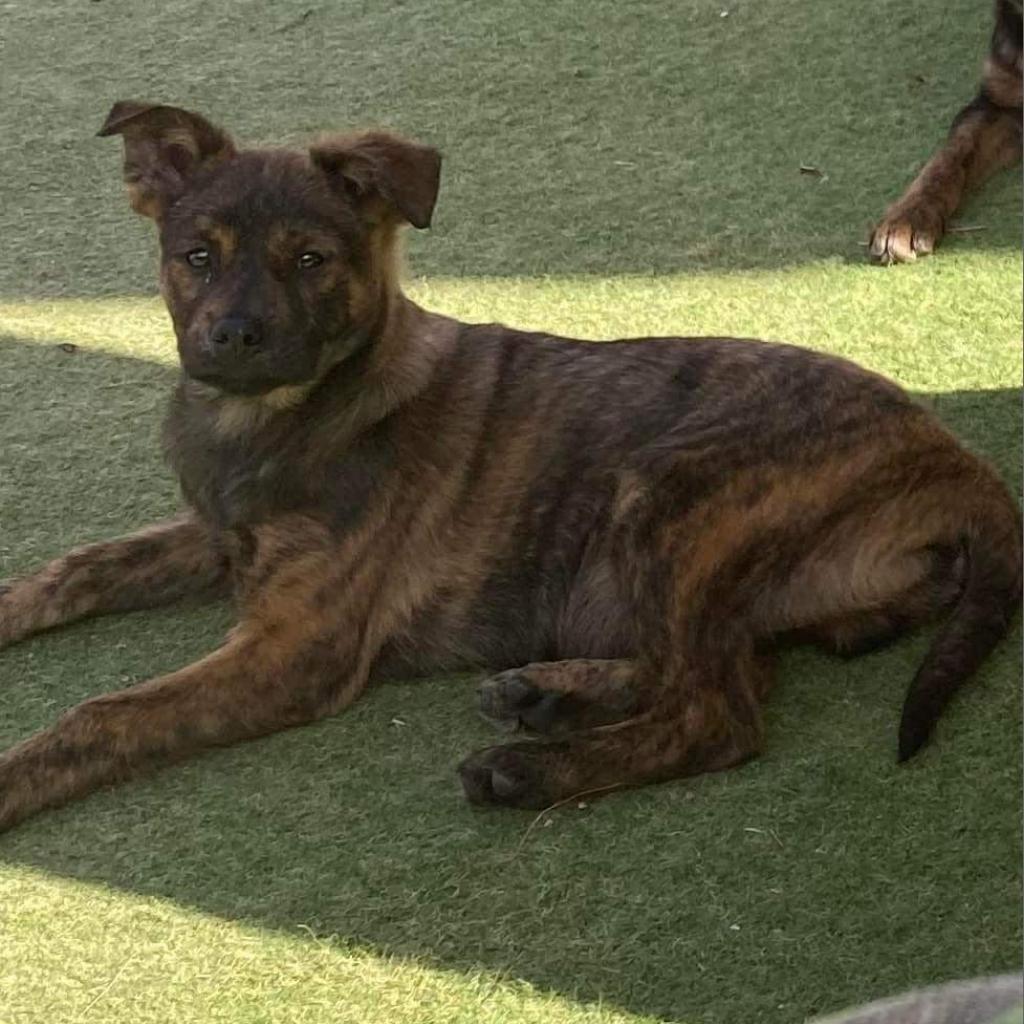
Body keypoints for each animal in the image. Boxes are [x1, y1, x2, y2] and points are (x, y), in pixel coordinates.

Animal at [2, 101, 1024, 831]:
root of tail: (954, 459)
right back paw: (548, 693)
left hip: (670, 495)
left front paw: (15, 778)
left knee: (720, 711)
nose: (232, 338)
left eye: (311, 259)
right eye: (195, 256)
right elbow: (72, 569)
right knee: (722, 668)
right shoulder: (214, 535)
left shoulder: (295, 648)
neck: (267, 422)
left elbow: (109, 713)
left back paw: (534, 768)